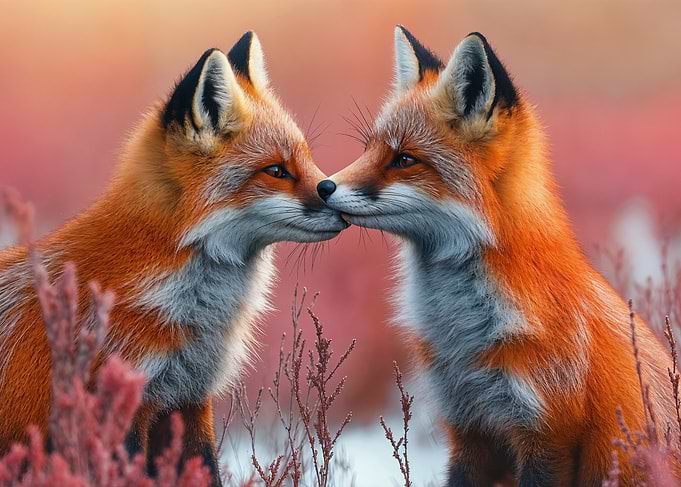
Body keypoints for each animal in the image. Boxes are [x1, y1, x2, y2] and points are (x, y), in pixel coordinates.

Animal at [319, 26, 675, 485]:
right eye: (369, 150)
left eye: (404, 159)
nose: (323, 187)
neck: (464, 337)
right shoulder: (470, 430)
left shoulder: (548, 435)